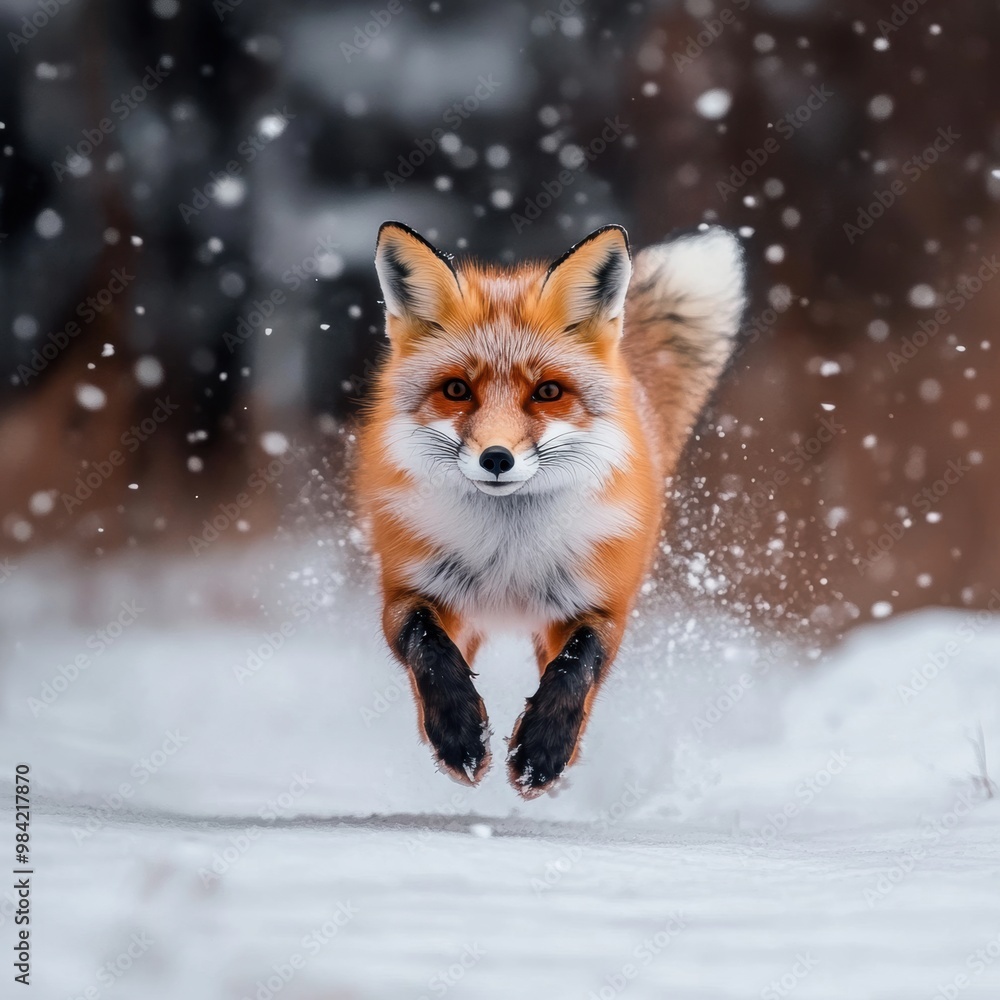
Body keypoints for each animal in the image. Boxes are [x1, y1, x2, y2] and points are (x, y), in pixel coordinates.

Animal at [355, 221, 747, 797]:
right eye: (456, 389)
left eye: (547, 392)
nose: (497, 458)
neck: (509, 555)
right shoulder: (409, 589)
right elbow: (429, 650)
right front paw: (458, 737)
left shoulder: (601, 603)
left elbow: (575, 668)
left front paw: (542, 752)